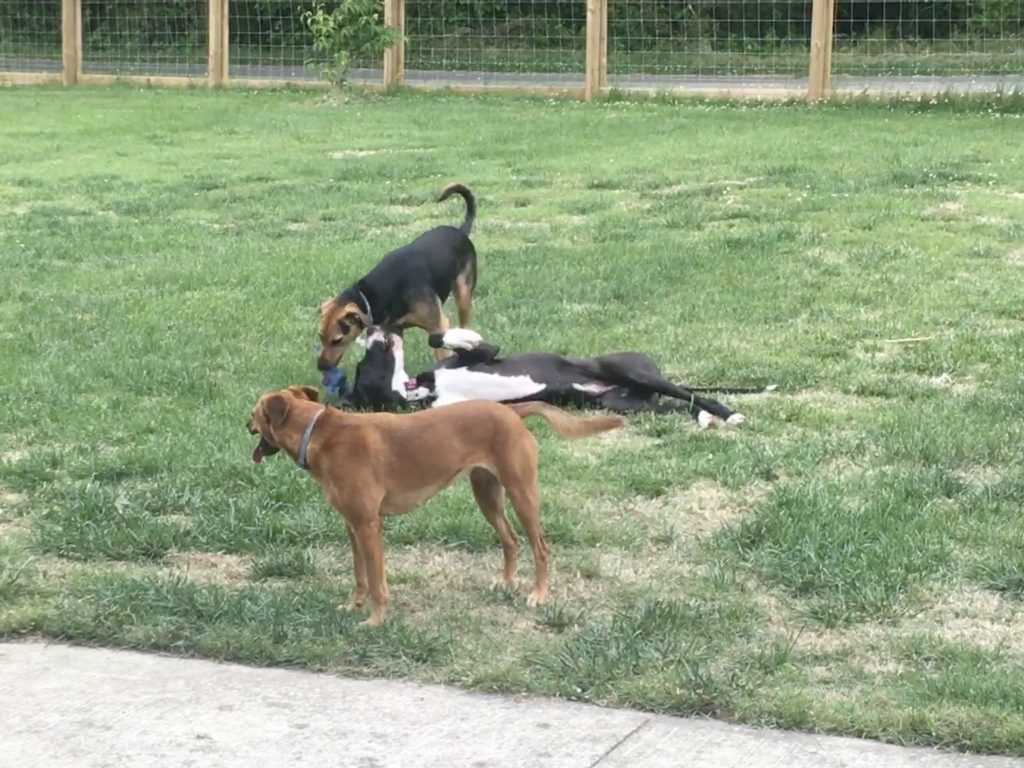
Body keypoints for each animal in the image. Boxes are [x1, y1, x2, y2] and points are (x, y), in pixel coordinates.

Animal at [245, 385, 622, 626]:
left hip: (522, 493)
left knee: (540, 546)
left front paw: (375, 620)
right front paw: (354, 605)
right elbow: (360, 576)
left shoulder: (368, 526)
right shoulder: (351, 526)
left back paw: (538, 594)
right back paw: (507, 582)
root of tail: (510, 410)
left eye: (254, 414)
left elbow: (377, 582)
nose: (245, 423)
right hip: (487, 494)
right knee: (510, 539)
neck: (319, 432)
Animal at [317, 182, 477, 370]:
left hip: (464, 296)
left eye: (337, 340)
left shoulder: (438, 326)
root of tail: (461, 231)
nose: (321, 366)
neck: (372, 294)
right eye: (320, 336)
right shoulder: (393, 330)